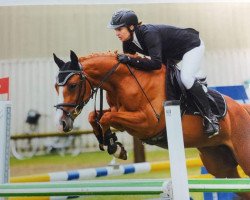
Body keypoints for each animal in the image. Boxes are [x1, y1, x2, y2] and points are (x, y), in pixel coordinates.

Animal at [54, 50, 250, 198]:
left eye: (72, 85)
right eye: (56, 87)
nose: (62, 123)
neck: (124, 81)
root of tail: (242, 108)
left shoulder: (148, 122)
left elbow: (105, 118)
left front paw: (113, 145)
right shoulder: (122, 115)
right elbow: (95, 116)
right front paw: (112, 144)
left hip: (243, 157)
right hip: (220, 165)